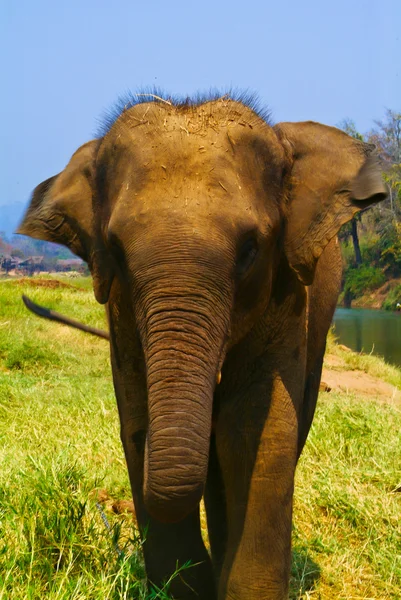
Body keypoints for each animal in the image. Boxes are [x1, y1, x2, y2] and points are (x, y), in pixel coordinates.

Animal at [17, 91, 386, 596]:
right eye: (115, 249)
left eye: (251, 248)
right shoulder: (120, 310)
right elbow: (137, 417)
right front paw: (184, 588)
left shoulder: (287, 289)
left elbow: (252, 424)